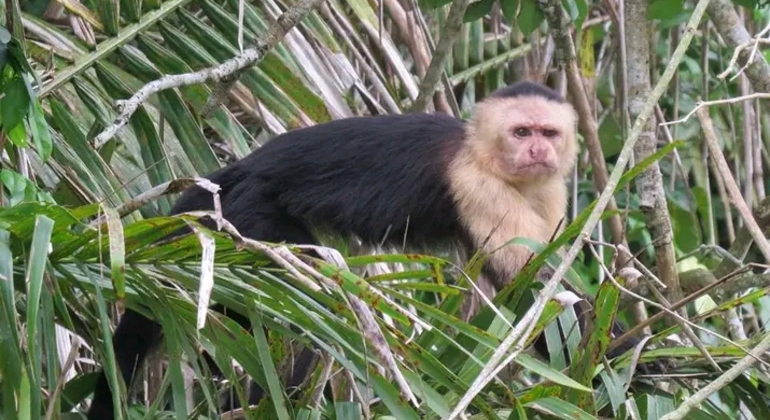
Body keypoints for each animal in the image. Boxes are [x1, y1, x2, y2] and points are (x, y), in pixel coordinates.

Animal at [87, 80, 632, 418]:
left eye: (548, 133)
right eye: (521, 132)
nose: (537, 150)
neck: (483, 153)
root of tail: (241, 168)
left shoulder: (548, 188)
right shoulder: (479, 186)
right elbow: (535, 287)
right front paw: (618, 364)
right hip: (253, 215)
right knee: (305, 301)